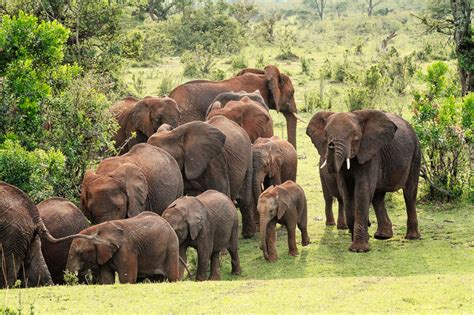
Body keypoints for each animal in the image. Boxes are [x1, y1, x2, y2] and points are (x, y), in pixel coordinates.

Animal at [308, 110, 422, 253]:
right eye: (326, 135)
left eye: (354, 136)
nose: (331, 144)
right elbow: (347, 193)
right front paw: (360, 242)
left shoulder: (371, 153)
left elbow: (362, 191)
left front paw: (359, 249)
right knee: (378, 197)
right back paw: (383, 236)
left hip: (416, 152)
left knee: (409, 193)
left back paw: (412, 237)